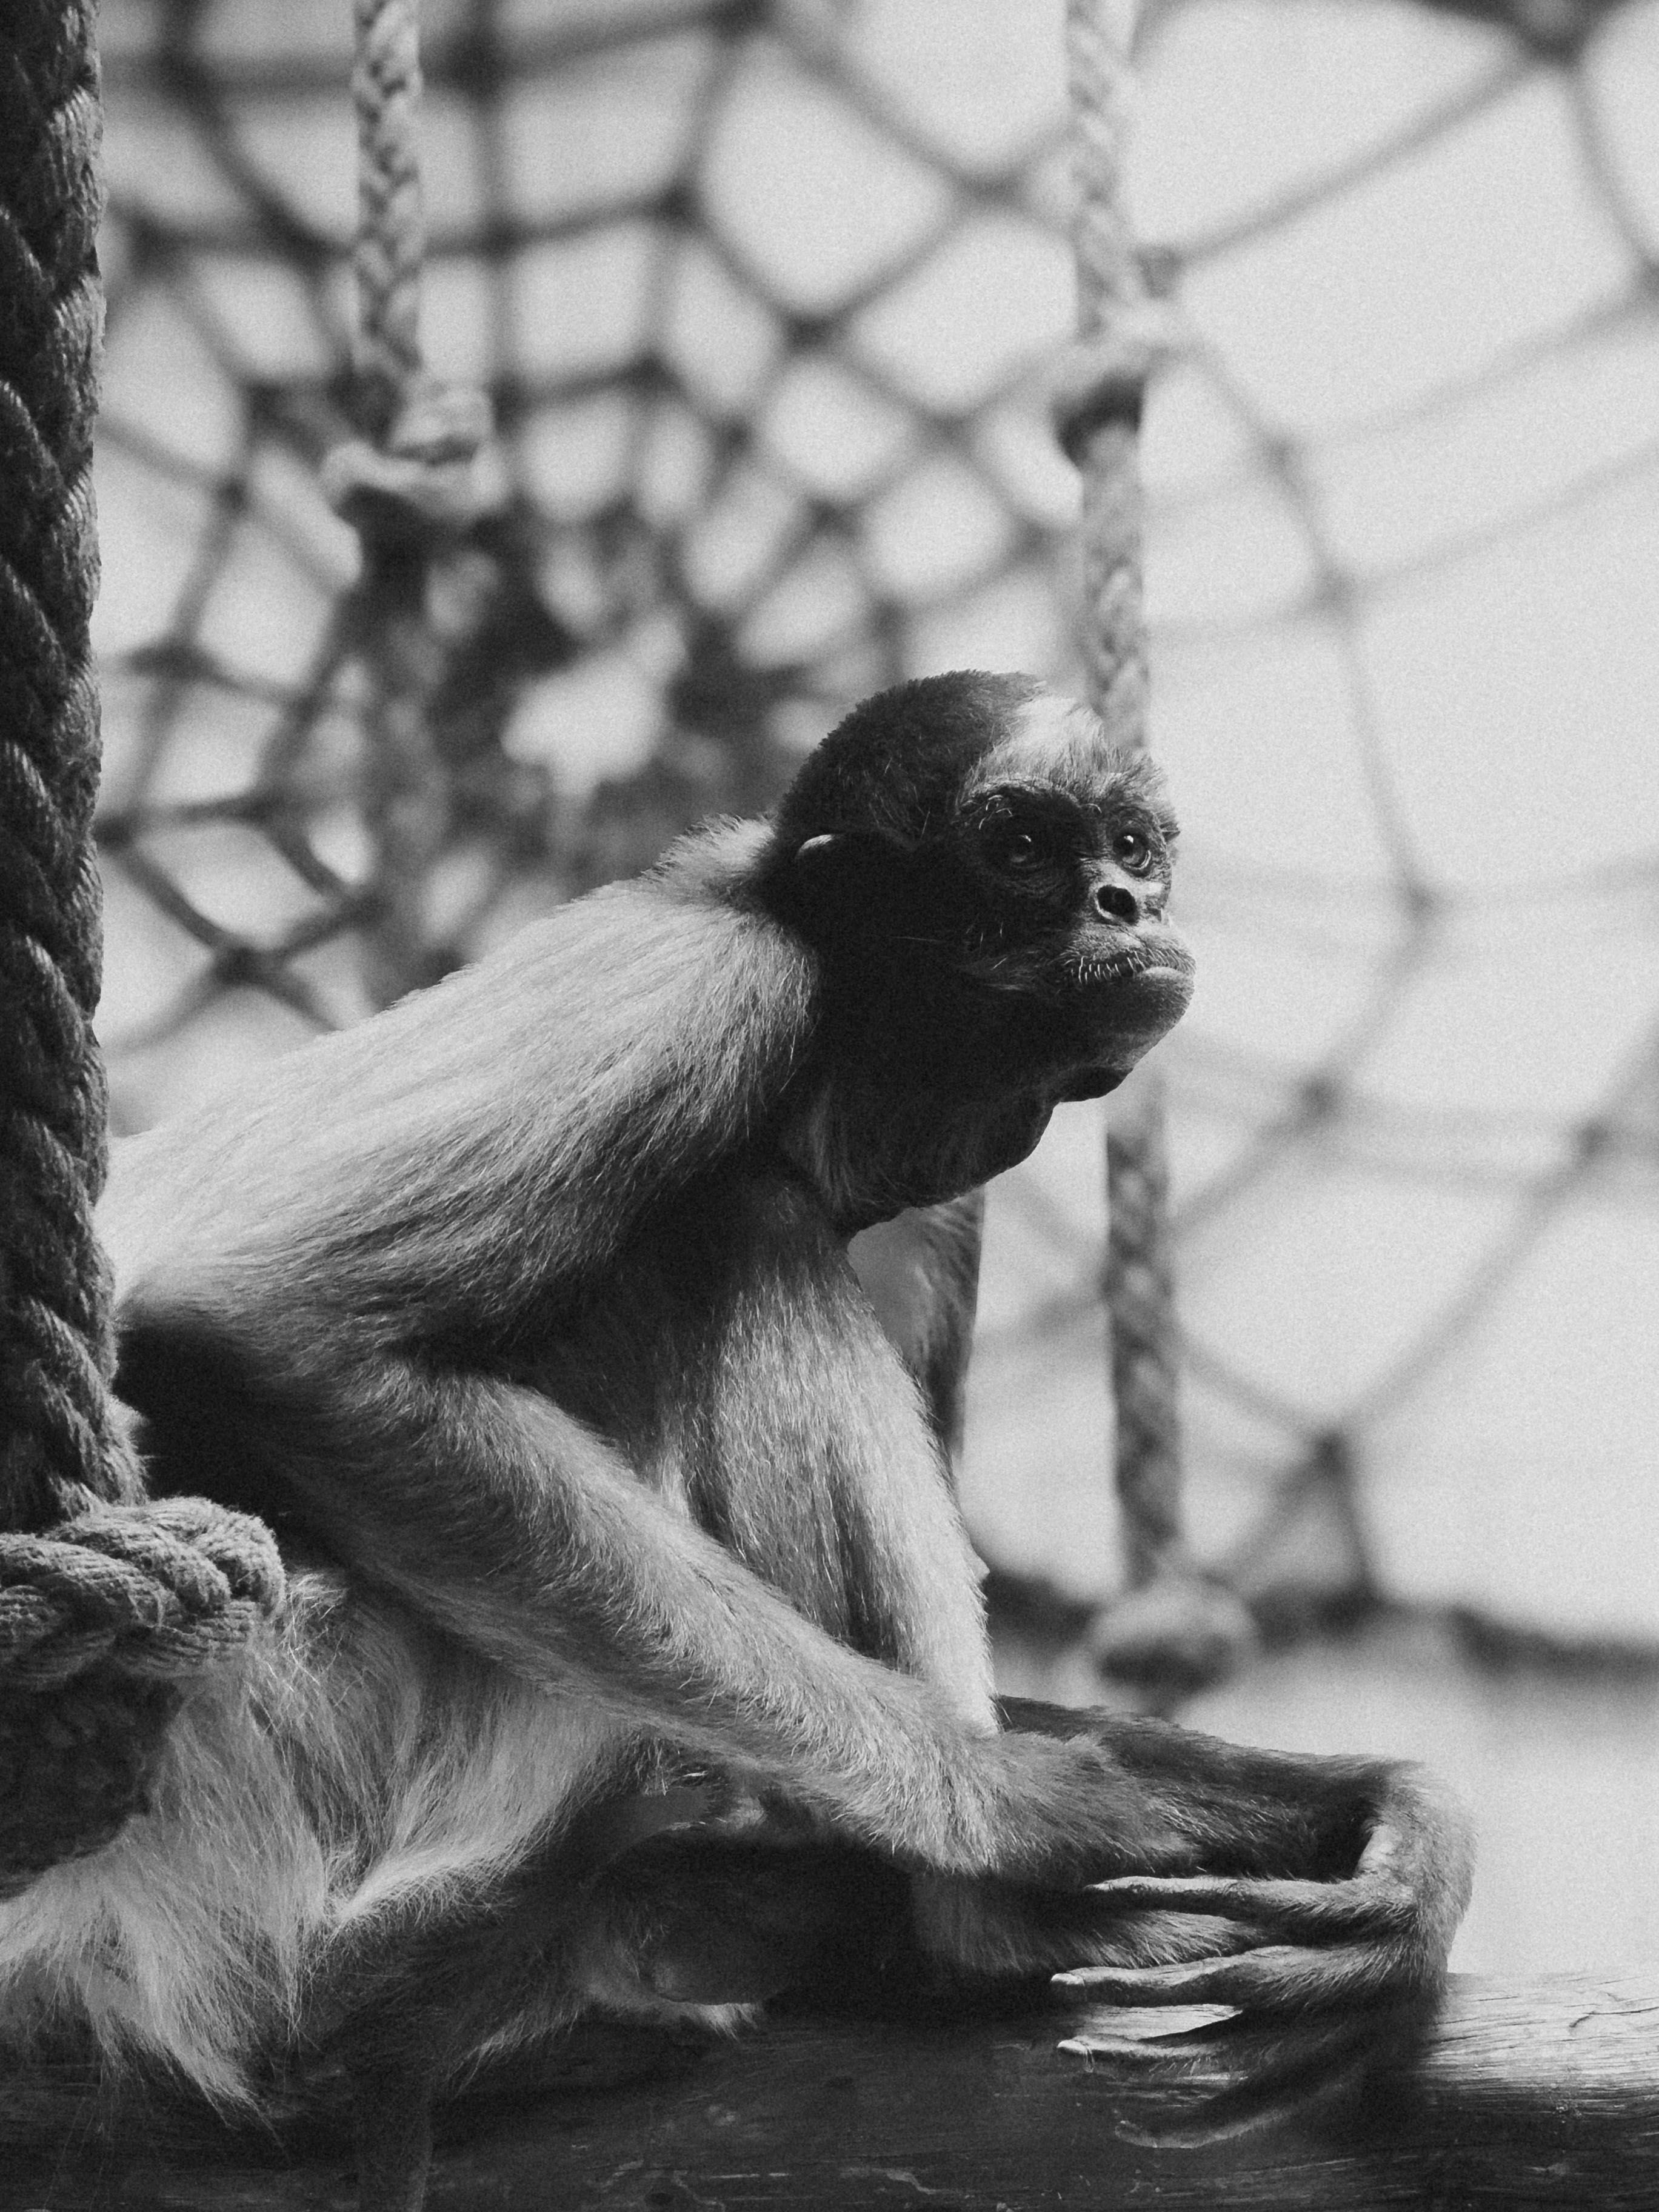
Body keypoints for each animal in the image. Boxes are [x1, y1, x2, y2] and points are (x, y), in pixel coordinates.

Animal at [0, 671, 1471, 2207]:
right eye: (1021, 850)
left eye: (1132, 843)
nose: (1126, 901)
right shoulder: (723, 985)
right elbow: (260, 1321)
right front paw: (997, 1799)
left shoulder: (933, 1188)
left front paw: (1369, 1804)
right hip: (299, 1757)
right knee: (739, 1222)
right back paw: (972, 1934)